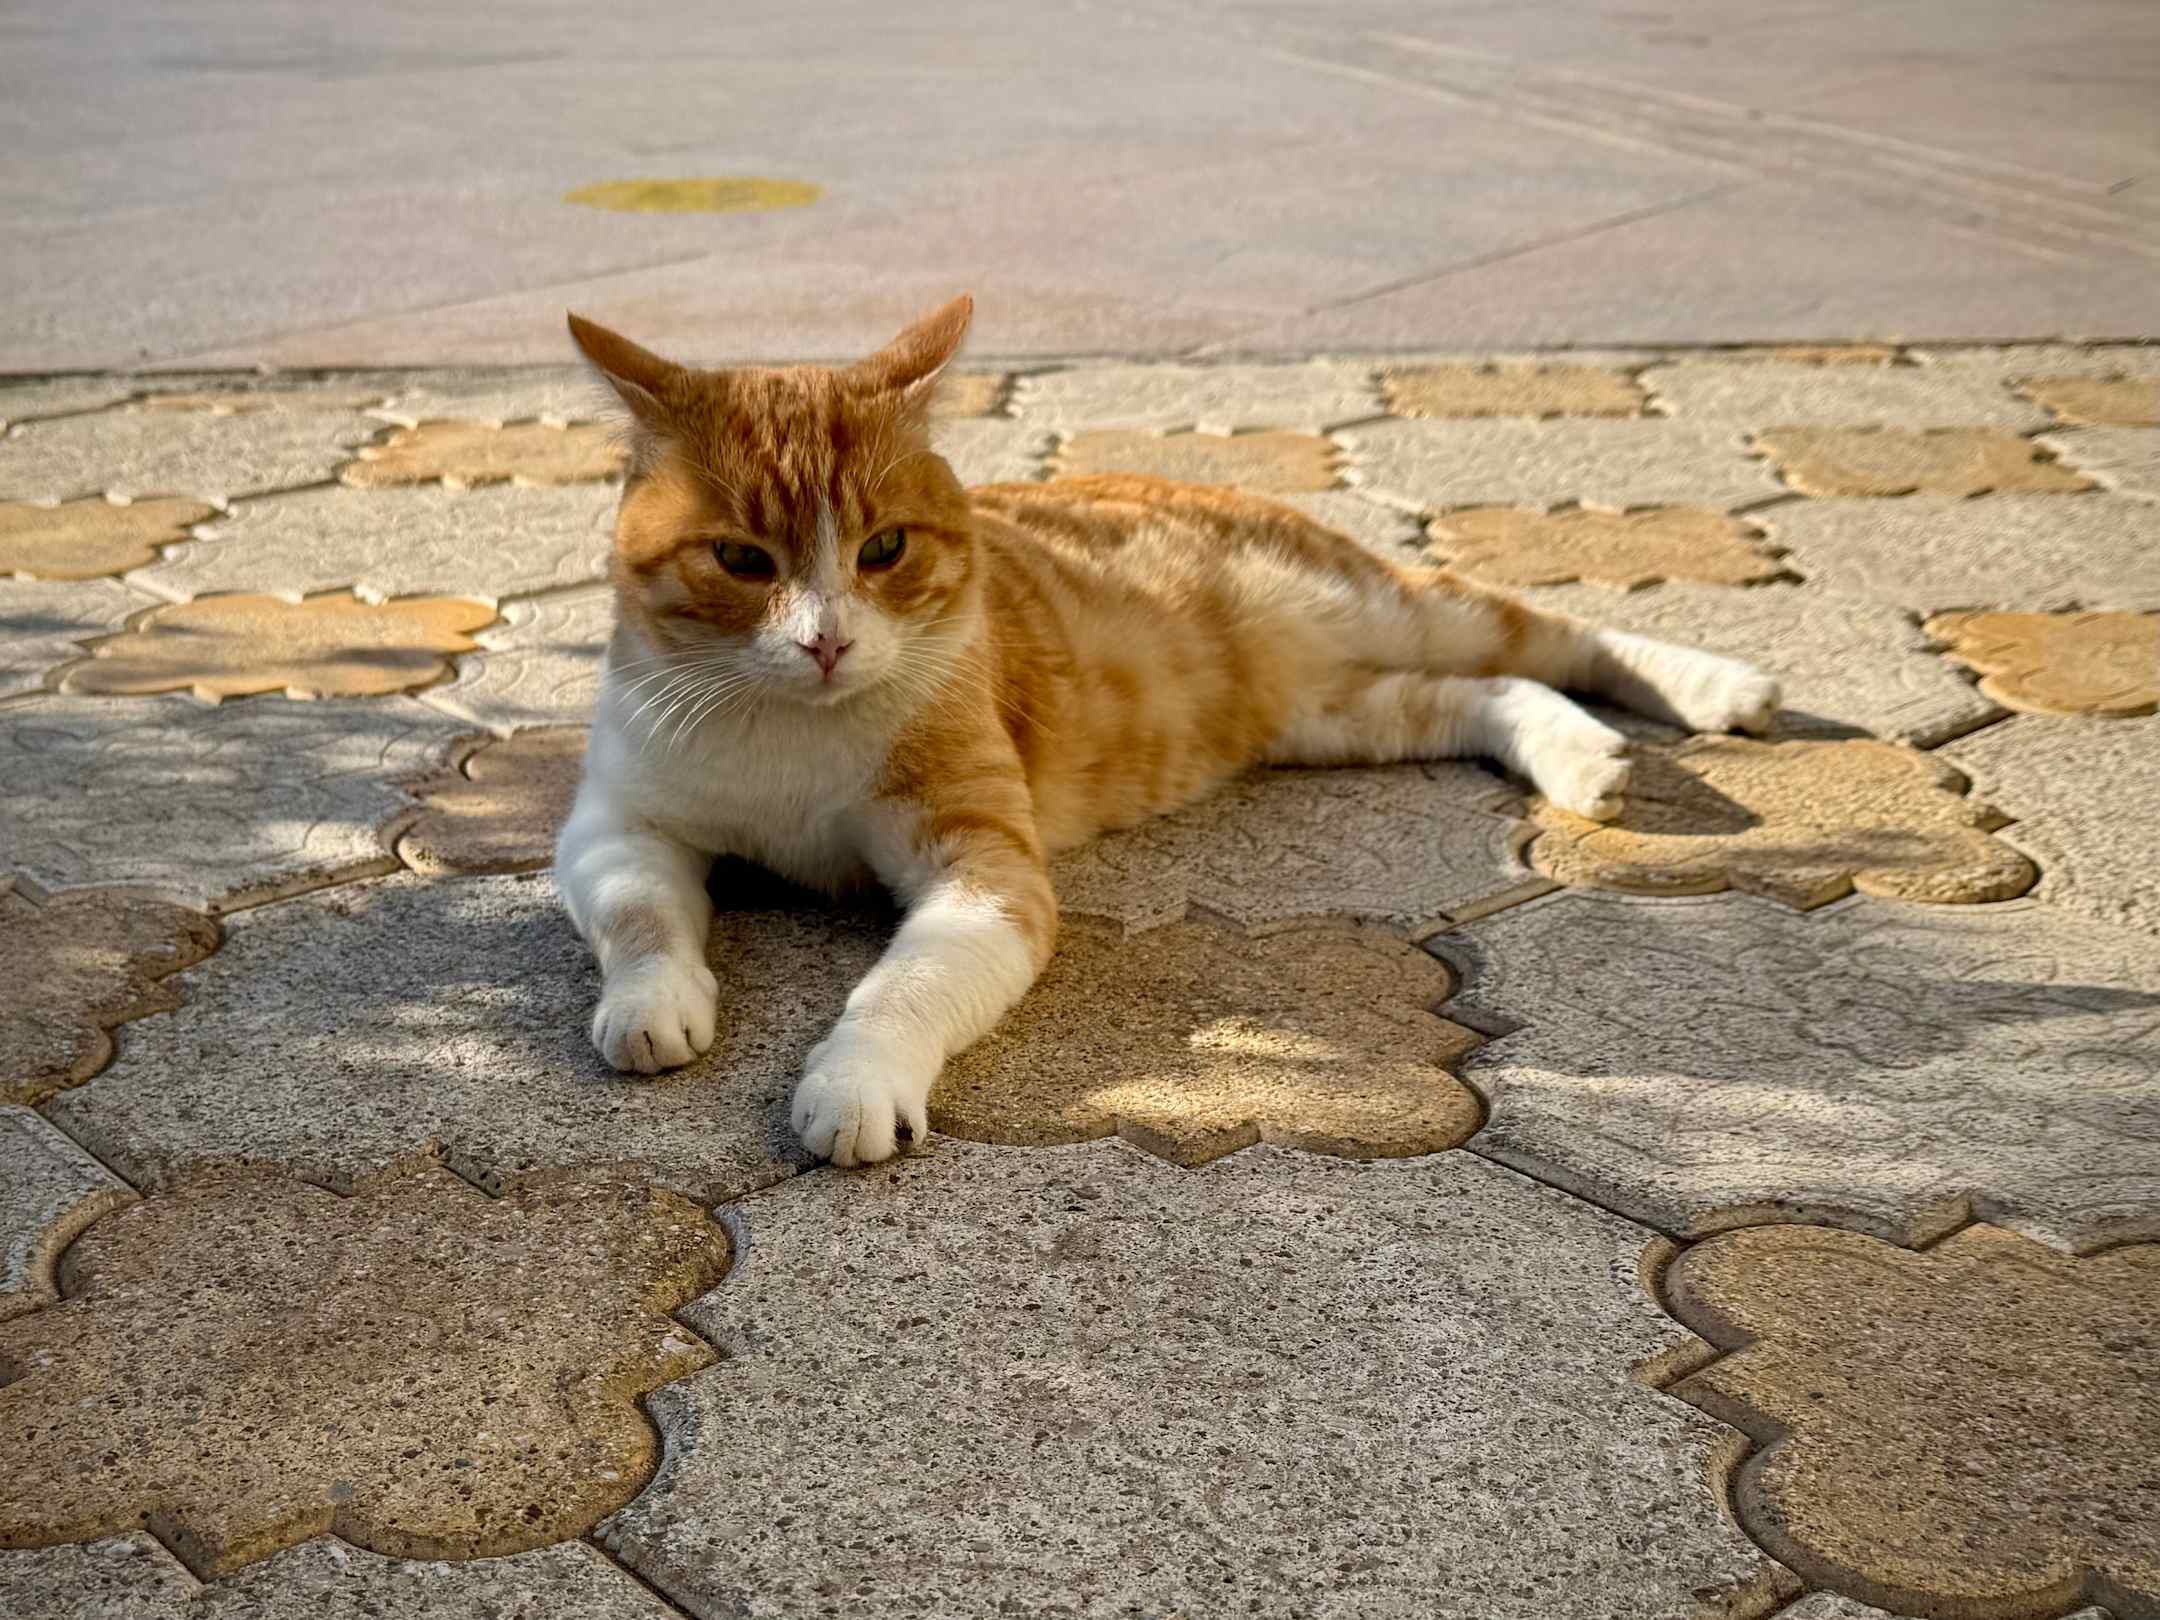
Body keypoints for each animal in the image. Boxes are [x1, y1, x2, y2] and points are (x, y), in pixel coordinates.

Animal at [556, 295, 1779, 1167]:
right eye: (742, 560)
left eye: (886, 549)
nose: (825, 642)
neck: (791, 736)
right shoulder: (614, 821)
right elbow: (639, 912)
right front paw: (651, 1002)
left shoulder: (987, 869)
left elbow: (901, 986)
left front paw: (854, 1082)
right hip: (1337, 712)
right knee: (1491, 691)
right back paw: (1583, 757)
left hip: (1395, 608)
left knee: (1548, 632)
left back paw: (1717, 686)